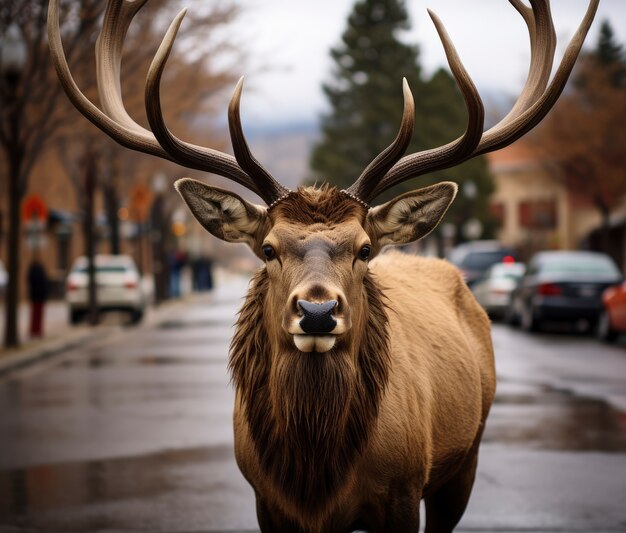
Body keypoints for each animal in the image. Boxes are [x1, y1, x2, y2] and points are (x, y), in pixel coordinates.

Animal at [47, 2, 596, 528]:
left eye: (365, 249)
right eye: (268, 249)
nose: (316, 312)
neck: (315, 478)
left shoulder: (403, 491)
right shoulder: (266, 499)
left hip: (465, 461)